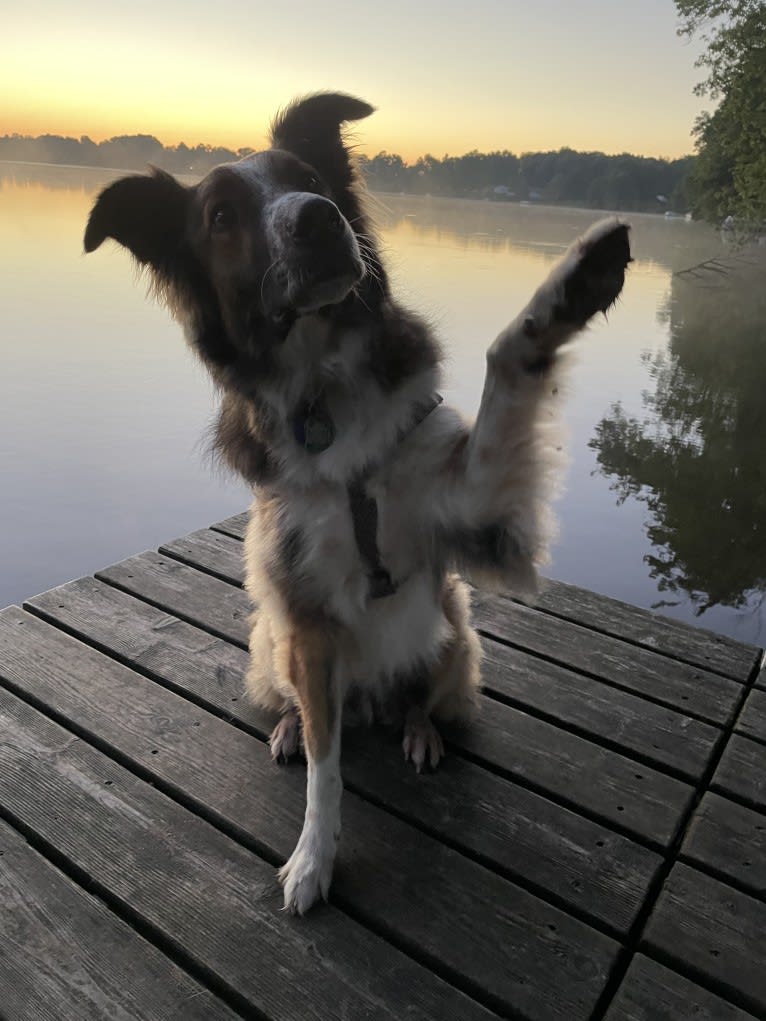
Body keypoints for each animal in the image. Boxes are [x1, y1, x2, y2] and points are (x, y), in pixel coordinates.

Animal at [83, 93, 633, 910]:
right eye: (221, 216)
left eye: (309, 179)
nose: (317, 219)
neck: (322, 387)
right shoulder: (307, 620)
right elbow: (325, 766)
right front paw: (313, 857)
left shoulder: (480, 515)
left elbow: (508, 358)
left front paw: (577, 280)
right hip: (272, 638)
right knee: (306, 711)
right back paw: (288, 726)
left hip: (455, 630)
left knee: (423, 695)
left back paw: (419, 728)